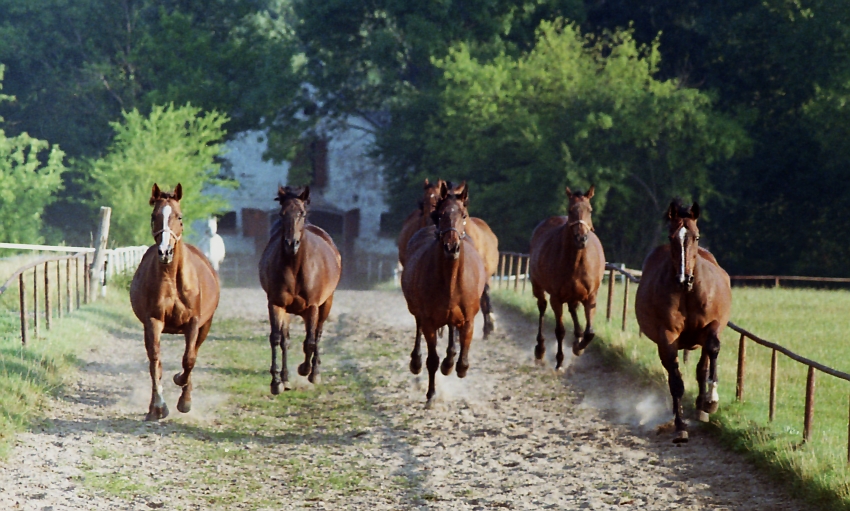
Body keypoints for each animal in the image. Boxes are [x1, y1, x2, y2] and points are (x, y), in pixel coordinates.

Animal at [129, 182, 220, 422]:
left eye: (179, 217)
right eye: (154, 216)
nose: (165, 252)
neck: (172, 279)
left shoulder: (194, 323)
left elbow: (189, 359)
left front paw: (183, 396)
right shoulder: (153, 322)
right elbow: (155, 362)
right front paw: (158, 407)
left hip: (205, 326)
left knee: (193, 353)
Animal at [258, 186, 342, 394]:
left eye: (302, 213)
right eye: (282, 213)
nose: (291, 244)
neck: (295, 267)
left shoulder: (312, 306)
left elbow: (310, 342)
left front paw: (306, 369)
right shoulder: (276, 304)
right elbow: (277, 339)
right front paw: (276, 382)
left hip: (326, 304)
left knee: (317, 334)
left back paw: (314, 372)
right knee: (286, 340)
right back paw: (286, 379)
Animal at [402, 182, 486, 406]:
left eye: (464, 215)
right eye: (440, 215)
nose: (451, 246)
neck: (451, 279)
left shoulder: (468, 319)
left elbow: (463, 355)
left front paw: (456, 366)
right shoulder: (429, 321)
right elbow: (432, 359)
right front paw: (431, 395)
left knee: (450, 331)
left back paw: (449, 361)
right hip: (417, 311)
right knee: (419, 329)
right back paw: (416, 362)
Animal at [528, 186, 608, 370]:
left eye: (590, 210)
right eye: (570, 210)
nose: (581, 238)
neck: (576, 261)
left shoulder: (590, 297)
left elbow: (590, 332)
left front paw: (579, 347)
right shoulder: (556, 299)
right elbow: (560, 330)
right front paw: (559, 360)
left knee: (573, 310)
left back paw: (577, 339)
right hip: (538, 287)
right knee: (542, 307)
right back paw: (540, 349)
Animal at [632, 201, 732, 444]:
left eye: (696, 236)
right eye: (671, 237)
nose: (683, 278)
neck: (687, 293)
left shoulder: (712, 326)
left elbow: (713, 350)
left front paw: (711, 401)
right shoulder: (666, 338)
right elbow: (676, 383)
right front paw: (680, 427)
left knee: (702, 366)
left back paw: (702, 406)